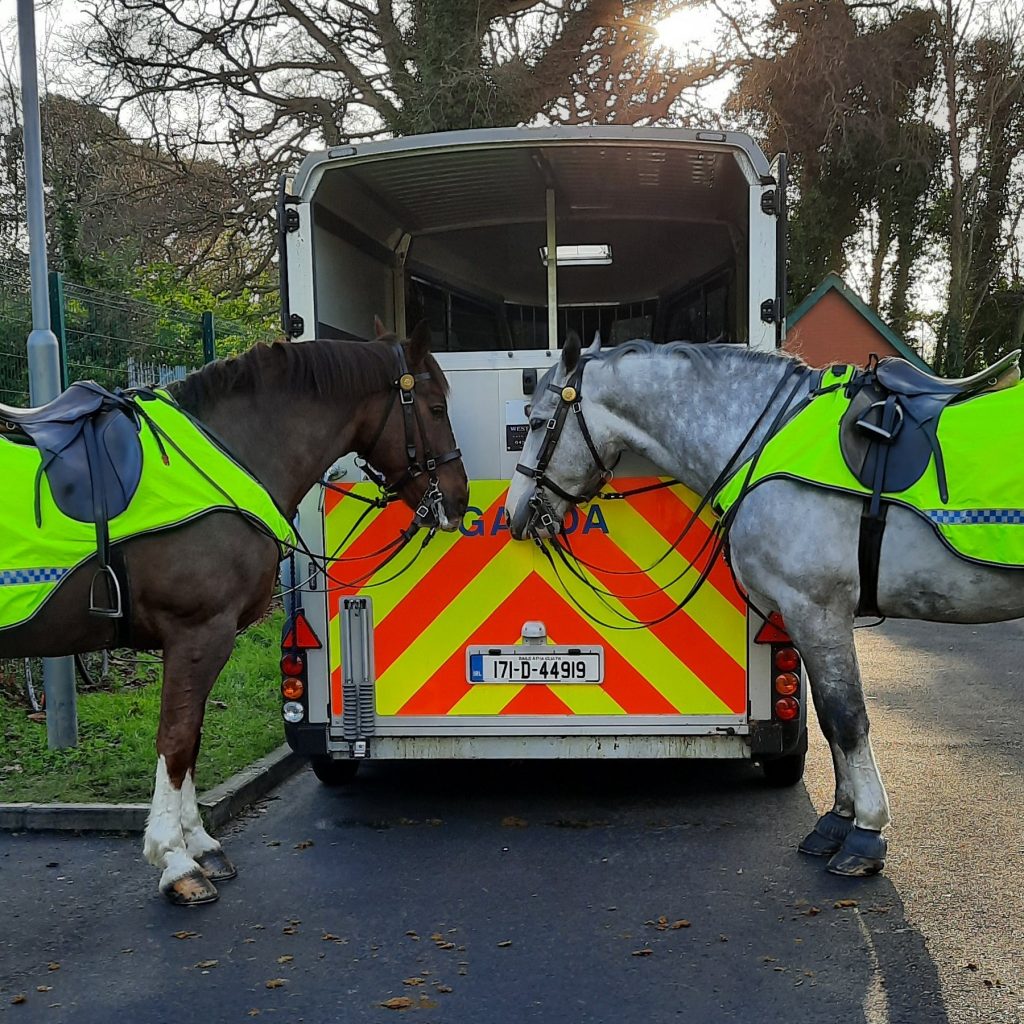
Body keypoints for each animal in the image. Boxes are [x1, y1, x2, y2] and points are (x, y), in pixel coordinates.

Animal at [0, 319, 468, 905]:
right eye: (435, 406)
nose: (458, 499)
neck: (232, 450)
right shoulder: (198, 633)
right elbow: (177, 739)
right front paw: (175, 861)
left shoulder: (197, 642)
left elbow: (193, 737)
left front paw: (201, 843)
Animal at [505, 331, 1024, 876]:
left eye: (538, 423)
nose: (516, 514)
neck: (766, 441)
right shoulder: (804, 617)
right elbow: (827, 720)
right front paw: (836, 822)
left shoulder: (818, 611)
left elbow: (847, 719)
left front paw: (866, 833)